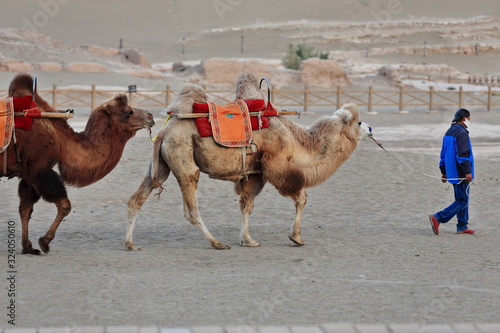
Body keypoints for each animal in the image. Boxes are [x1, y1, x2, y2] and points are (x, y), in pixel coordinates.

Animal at [1, 72, 154, 254]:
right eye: (128, 111)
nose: (151, 116)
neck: (60, 138)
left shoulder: (28, 174)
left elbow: (25, 208)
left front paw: (28, 247)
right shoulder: (39, 168)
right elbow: (65, 205)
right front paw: (45, 242)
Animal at [124, 72, 372, 249]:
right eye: (358, 122)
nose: (370, 128)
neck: (297, 141)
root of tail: (165, 131)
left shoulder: (254, 174)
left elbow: (247, 205)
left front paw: (247, 239)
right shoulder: (277, 164)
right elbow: (301, 196)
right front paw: (296, 237)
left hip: (160, 164)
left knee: (137, 199)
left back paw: (130, 244)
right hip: (182, 155)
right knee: (191, 207)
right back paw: (217, 243)